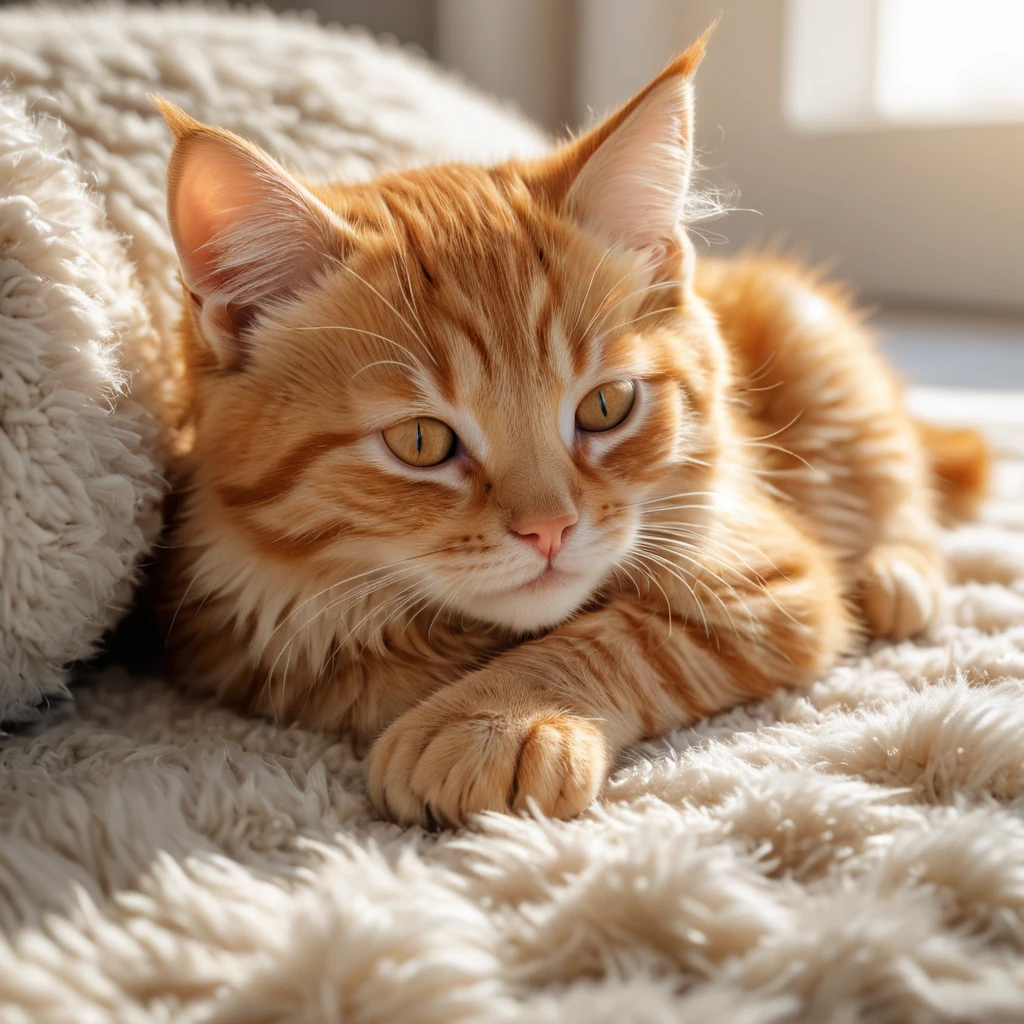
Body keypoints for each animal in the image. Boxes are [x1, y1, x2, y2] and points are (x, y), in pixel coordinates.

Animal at [149, 29, 983, 831]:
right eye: (421, 442)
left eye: (605, 407)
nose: (550, 529)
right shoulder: (240, 644)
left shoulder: (776, 581)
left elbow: (620, 637)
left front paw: (493, 720)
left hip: (815, 337)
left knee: (898, 478)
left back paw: (896, 573)